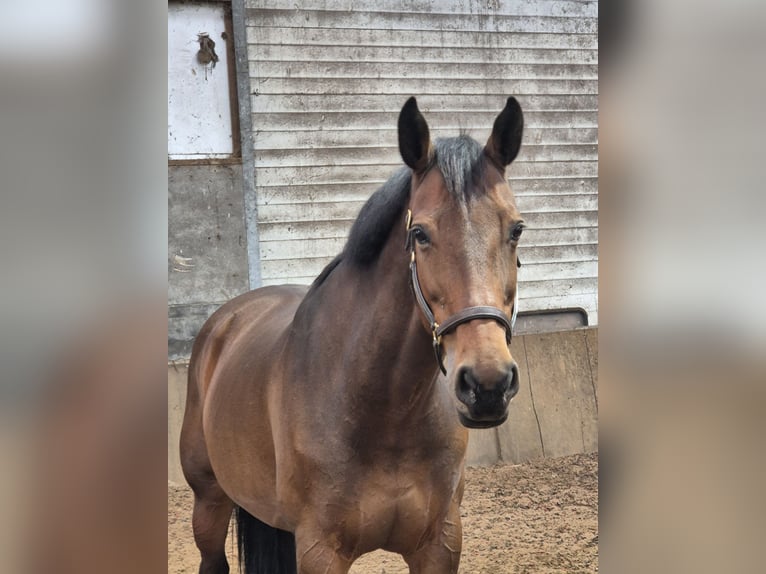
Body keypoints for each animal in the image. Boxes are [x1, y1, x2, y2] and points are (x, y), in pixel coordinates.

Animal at [180, 96, 526, 574]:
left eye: (516, 229)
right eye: (420, 234)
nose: (487, 384)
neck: (383, 411)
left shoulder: (439, 543)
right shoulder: (320, 550)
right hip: (209, 504)